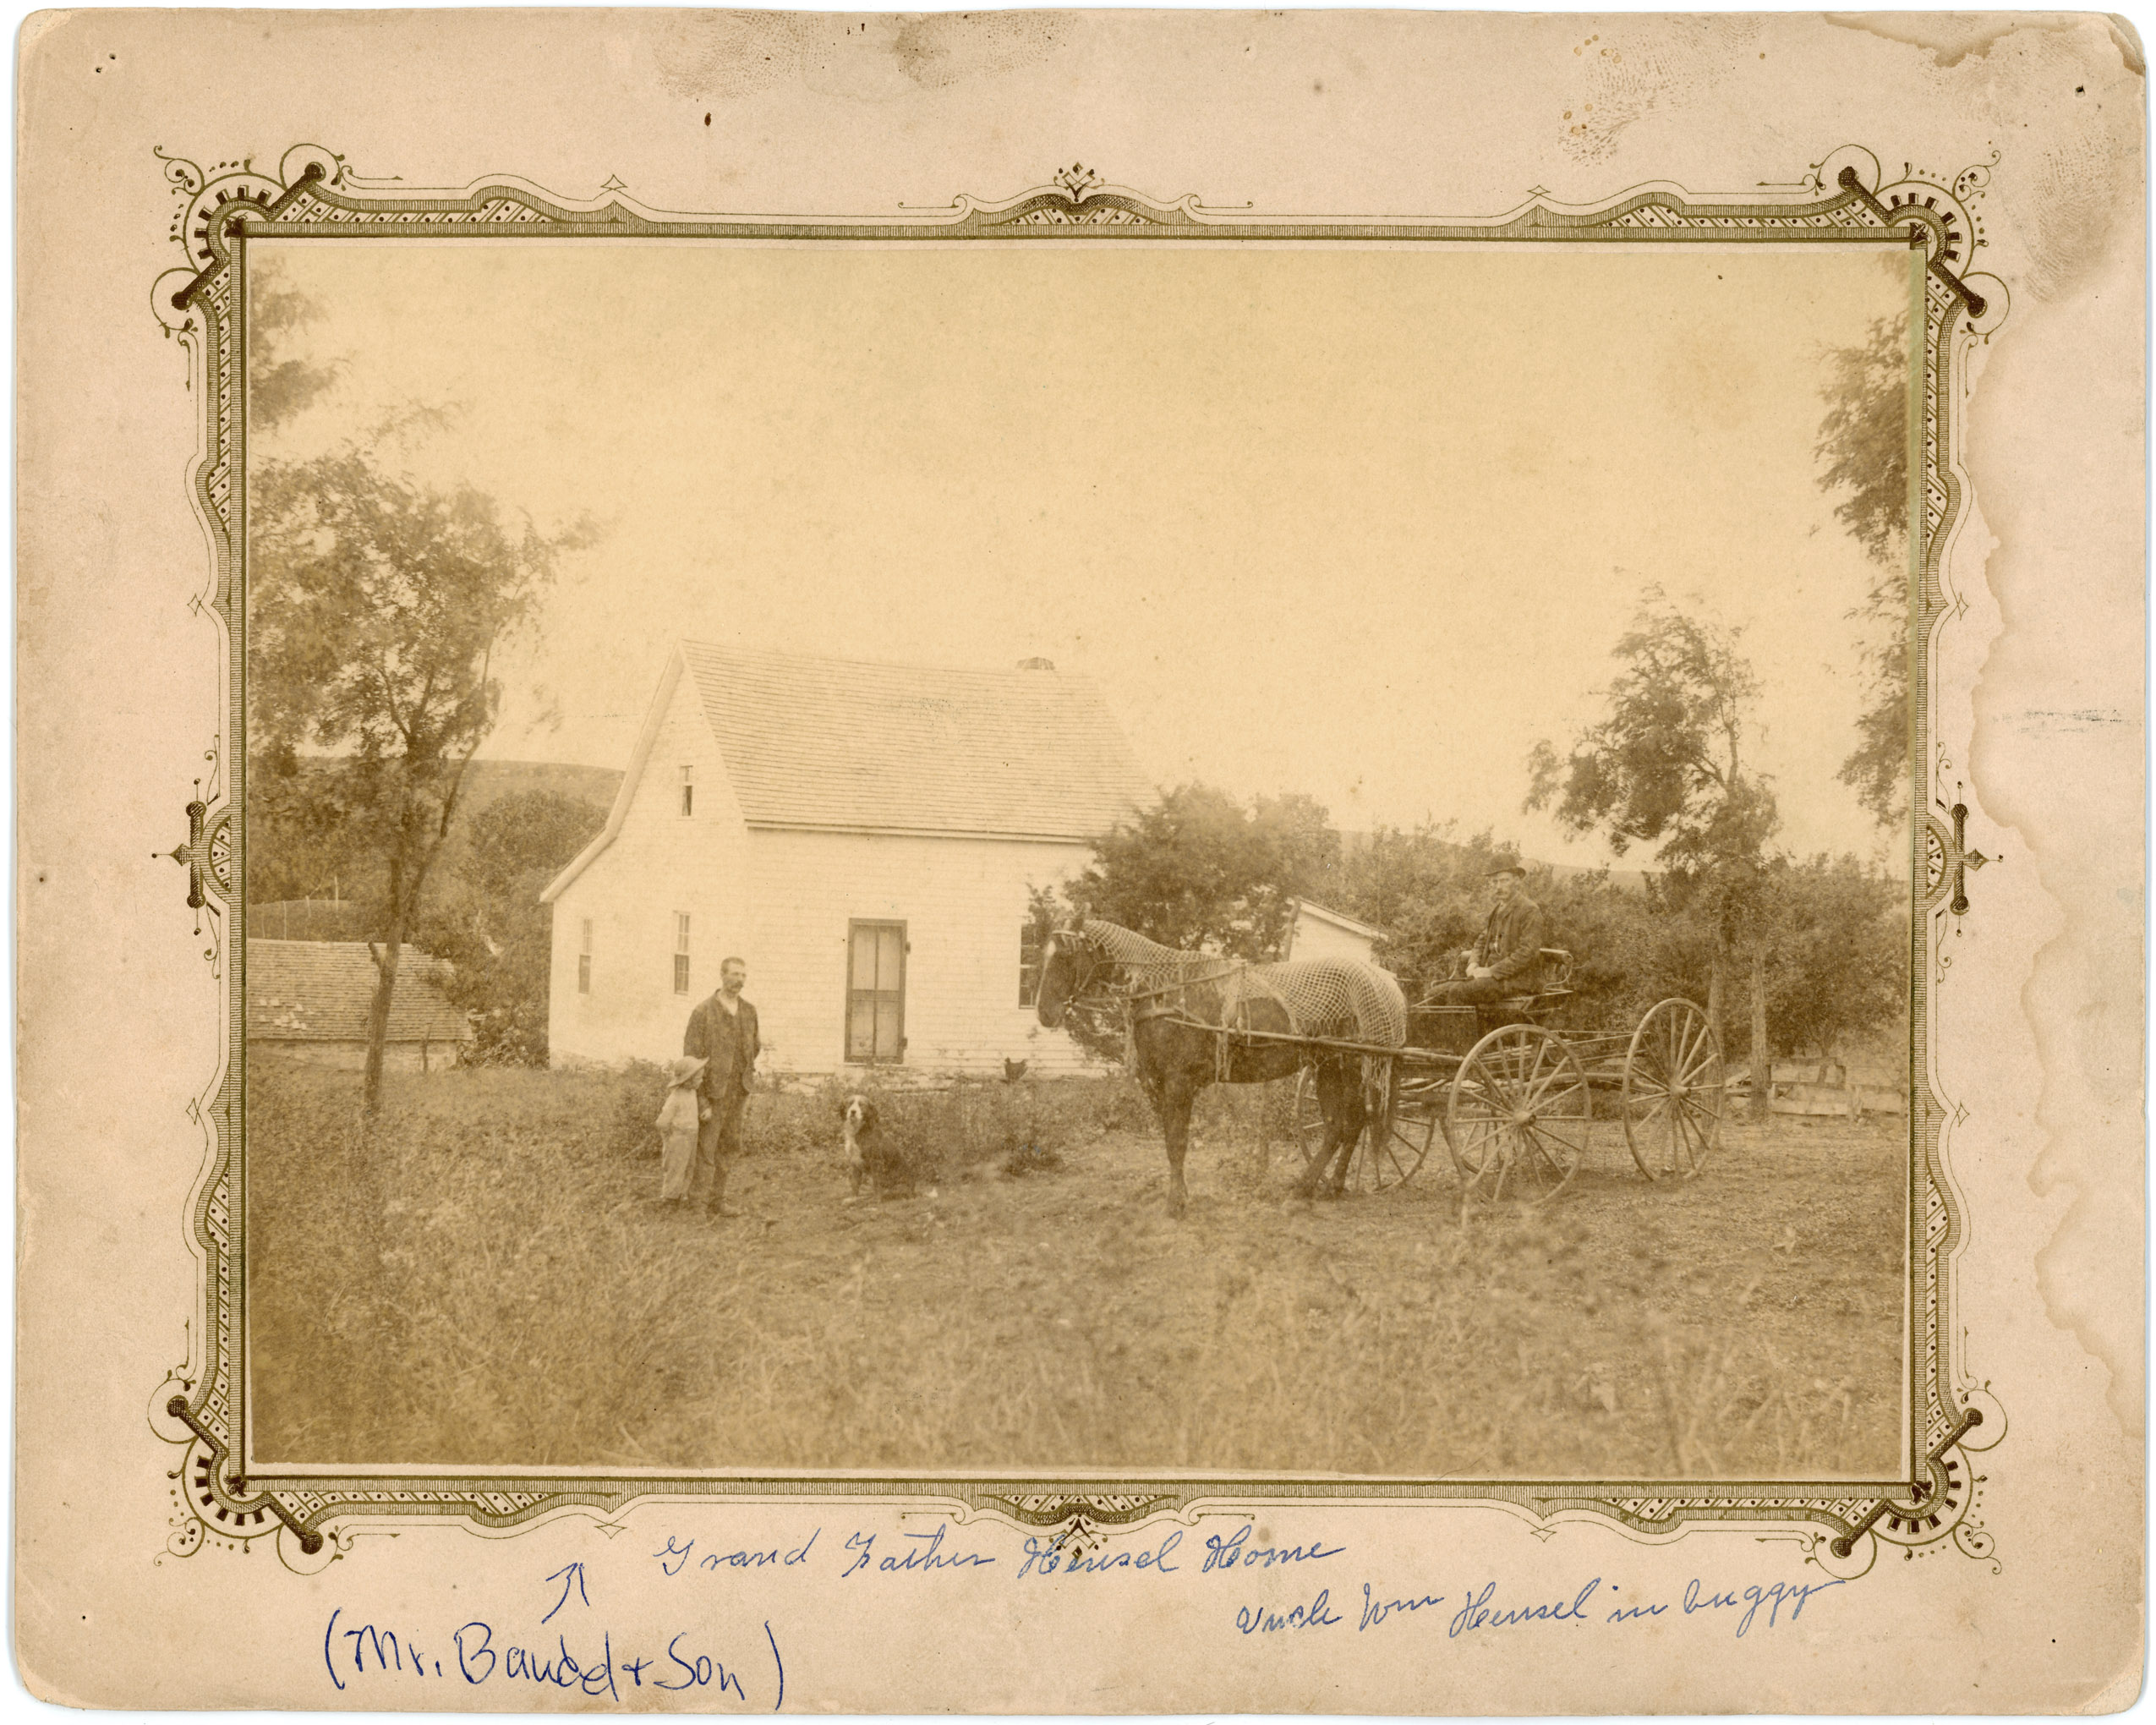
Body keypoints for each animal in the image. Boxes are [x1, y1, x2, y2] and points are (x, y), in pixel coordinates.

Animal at [1034, 918, 1407, 1211]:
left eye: (1065, 955)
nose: (1044, 1012)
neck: (1163, 989)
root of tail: (1384, 982)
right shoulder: (1161, 1084)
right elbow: (1171, 1139)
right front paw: (1181, 1195)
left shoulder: (1178, 1082)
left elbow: (1177, 1141)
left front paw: (1176, 1203)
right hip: (1327, 1065)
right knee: (1341, 1125)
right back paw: (1322, 1187)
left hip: (1348, 1065)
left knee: (1348, 1123)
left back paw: (1310, 1187)